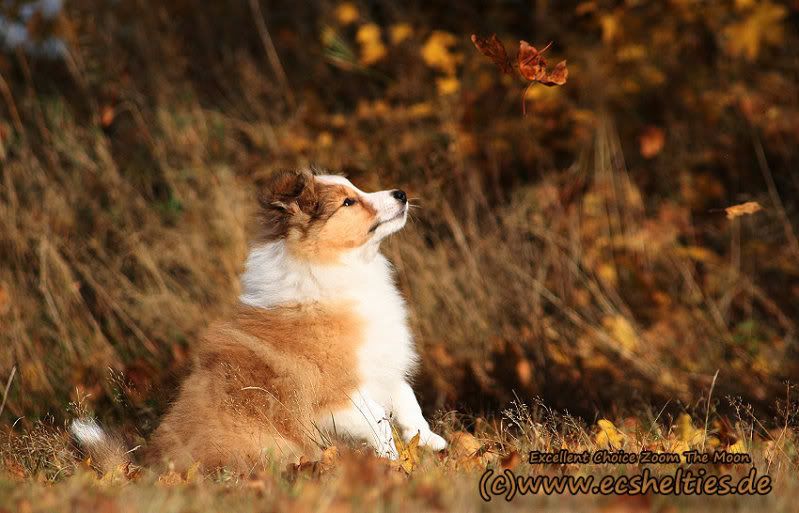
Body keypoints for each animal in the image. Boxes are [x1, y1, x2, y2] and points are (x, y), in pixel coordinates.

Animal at [72, 169, 446, 472]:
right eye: (348, 202)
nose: (401, 193)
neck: (333, 267)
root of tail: (147, 470)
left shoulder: (382, 365)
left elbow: (407, 401)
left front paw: (431, 443)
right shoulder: (338, 396)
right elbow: (378, 422)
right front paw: (394, 463)